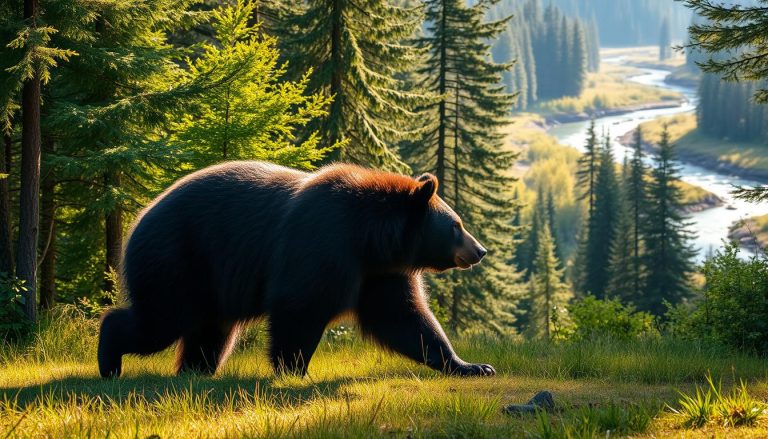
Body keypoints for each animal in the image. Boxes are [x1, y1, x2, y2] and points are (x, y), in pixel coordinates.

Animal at [98, 161, 494, 378]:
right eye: (456, 225)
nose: (479, 250)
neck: (371, 239)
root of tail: (139, 219)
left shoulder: (379, 272)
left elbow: (405, 318)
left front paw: (471, 365)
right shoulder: (322, 243)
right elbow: (300, 307)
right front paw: (294, 369)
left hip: (211, 282)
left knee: (211, 332)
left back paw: (197, 369)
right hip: (177, 260)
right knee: (160, 320)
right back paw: (110, 361)